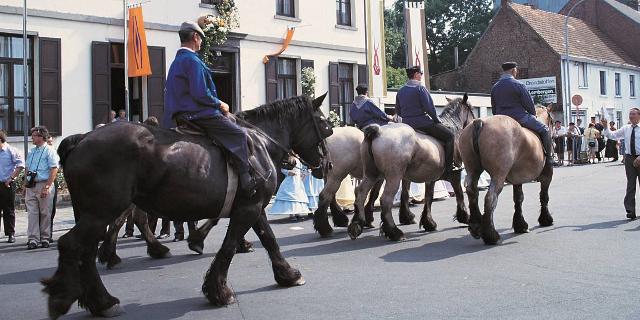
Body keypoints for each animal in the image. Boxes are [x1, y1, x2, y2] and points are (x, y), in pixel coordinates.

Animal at [40, 94, 332, 318]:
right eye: (325, 125)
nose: (327, 165)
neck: (259, 142)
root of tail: (82, 138)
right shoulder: (248, 207)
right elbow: (229, 246)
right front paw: (218, 289)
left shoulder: (253, 206)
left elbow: (269, 240)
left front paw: (287, 274)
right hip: (101, 211)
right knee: (74, 244)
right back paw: (67, 295)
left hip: (95, 213)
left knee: (89, 249)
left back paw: (103, 299)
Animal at [348, 95, 472, 240]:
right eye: (471, 109)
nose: (473, 122)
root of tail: (377, 132)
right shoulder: (455, 175)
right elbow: (459, 194)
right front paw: (465, 217)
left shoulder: (430, 178)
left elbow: (428, 197)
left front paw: (428, 222)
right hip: (393, 177)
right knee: (385, 199)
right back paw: (393, 231)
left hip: (371, 174)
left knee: (361, 193)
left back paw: (358, 224)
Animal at [460, 106, 556, 244]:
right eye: (552, 121)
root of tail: (479, 122)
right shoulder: (547, 176)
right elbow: (544, 196)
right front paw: (546, 219)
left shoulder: (517, 179)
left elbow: (518, 199)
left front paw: (520, 225)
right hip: (498, 175)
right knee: (490, 198)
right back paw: (491, 235)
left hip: (472, 170)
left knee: (472, 192)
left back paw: (476, 226)